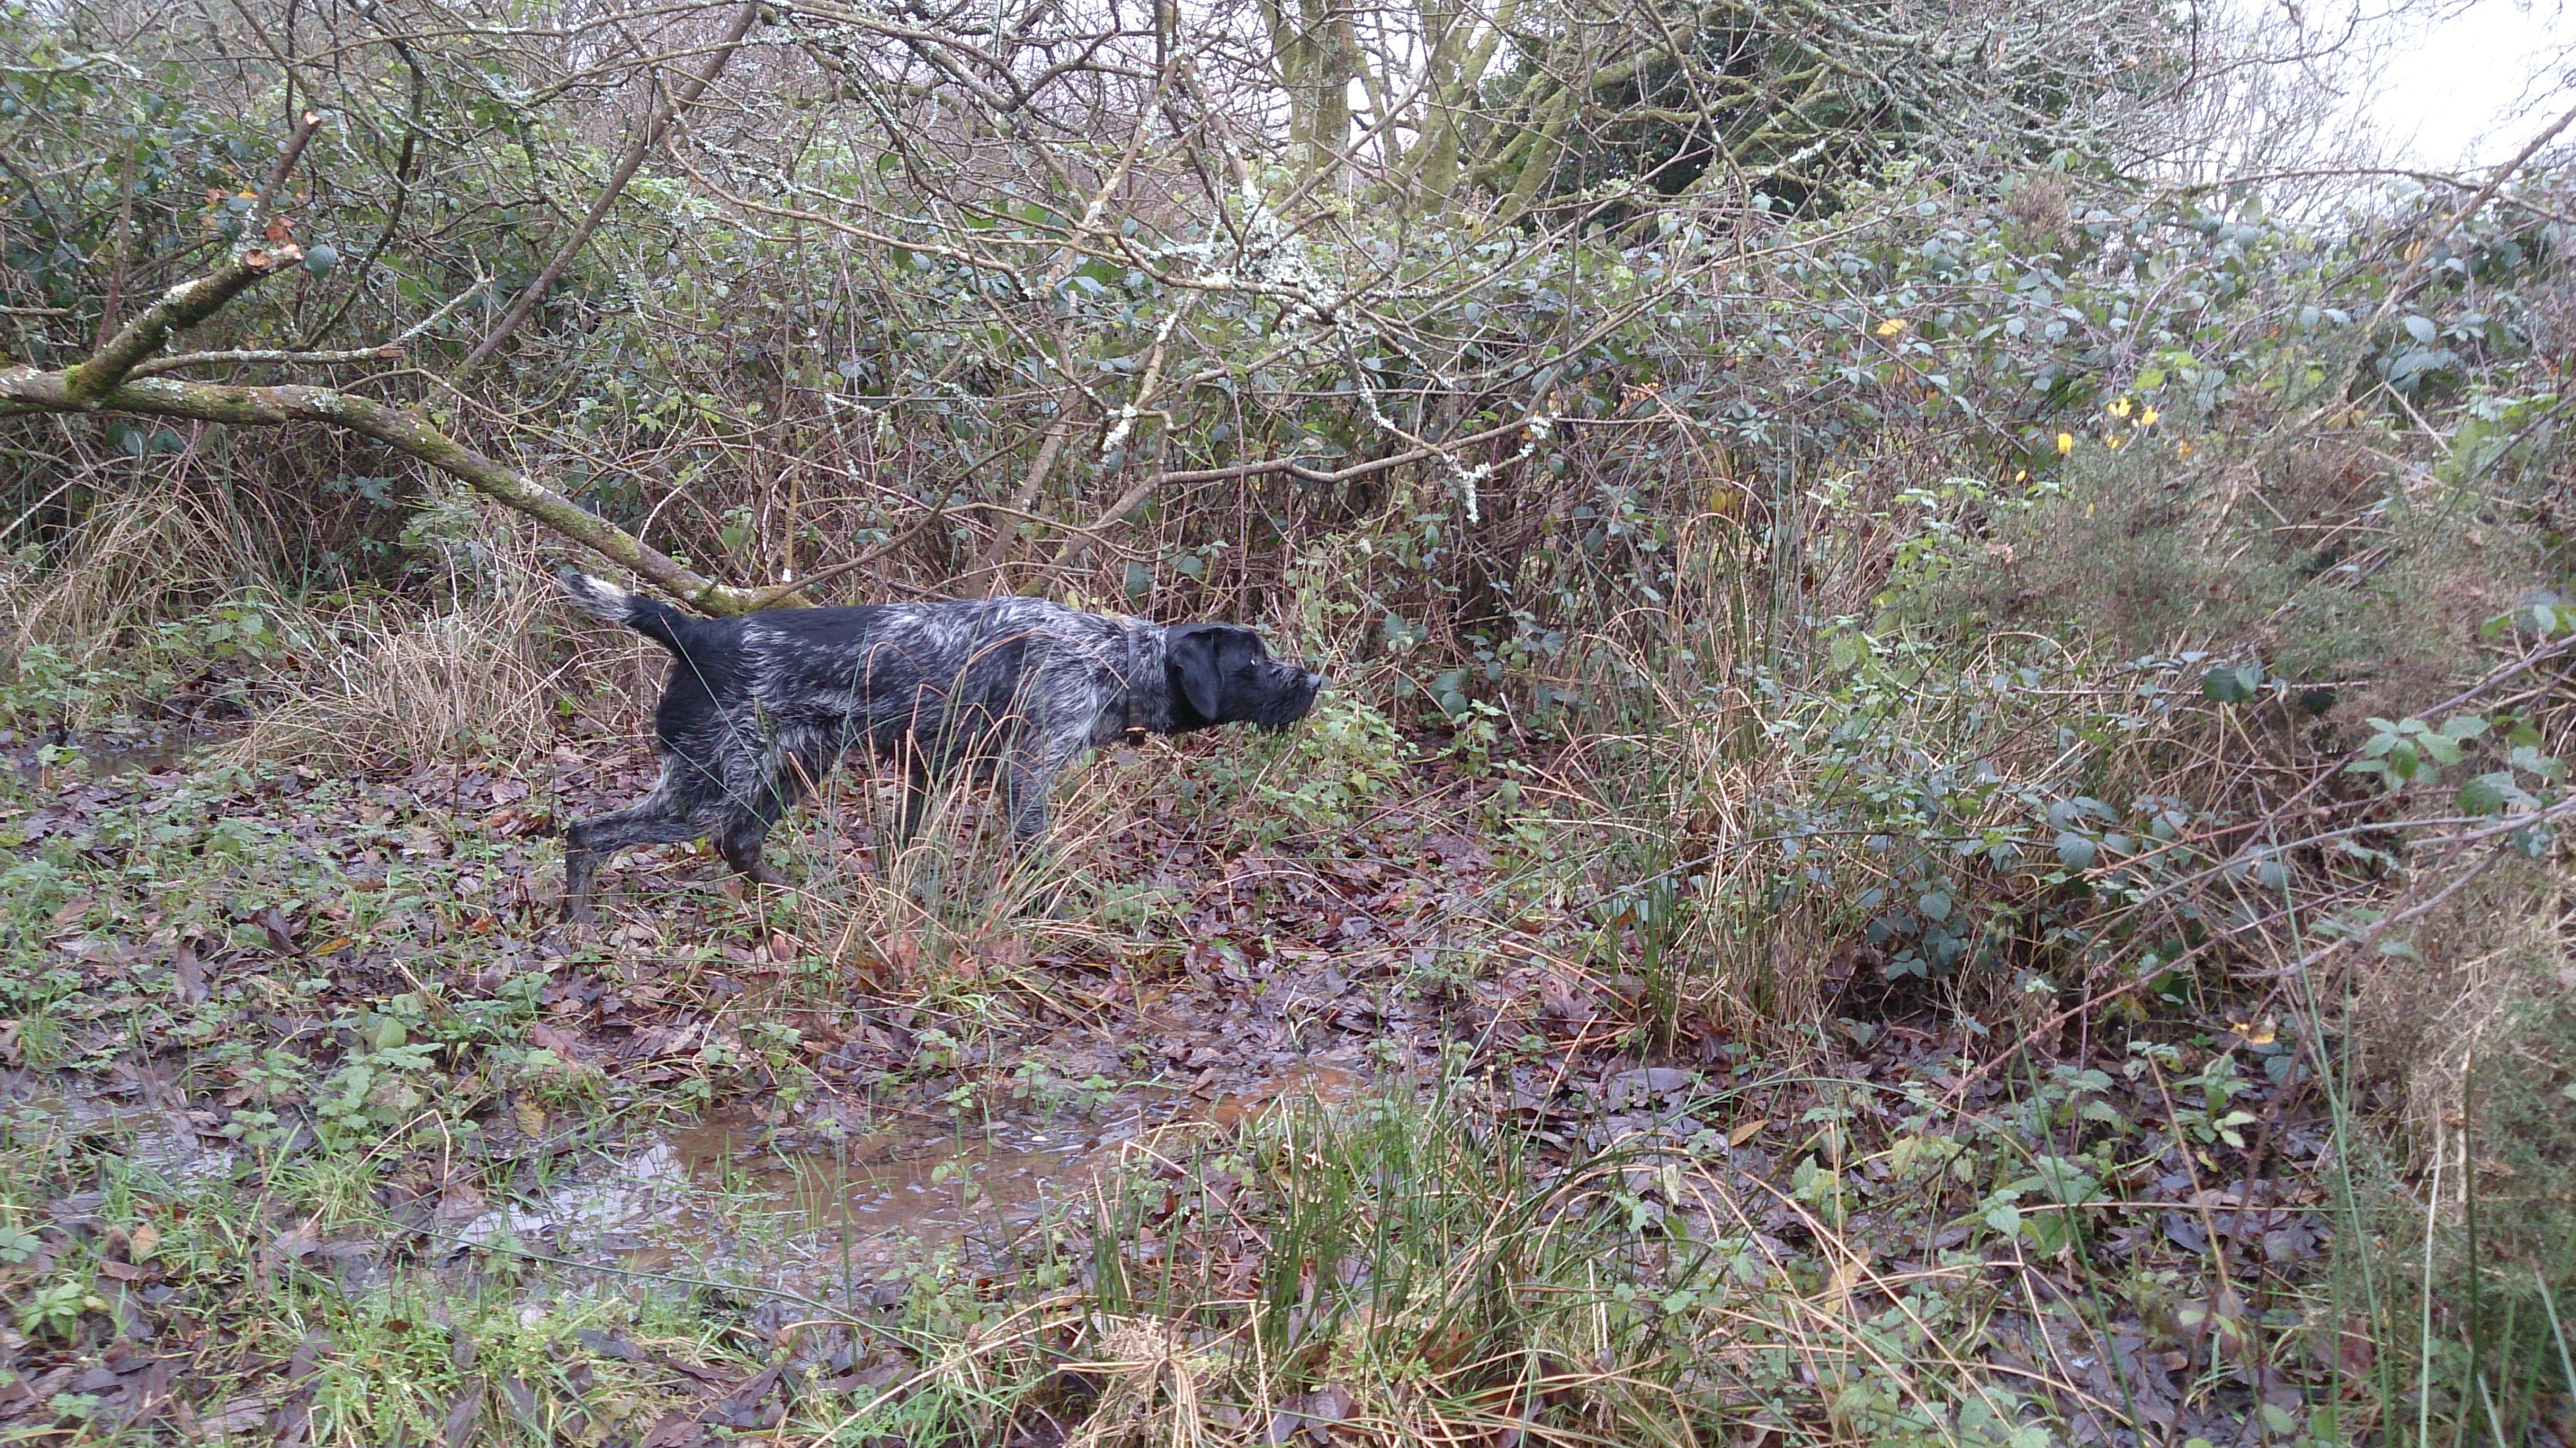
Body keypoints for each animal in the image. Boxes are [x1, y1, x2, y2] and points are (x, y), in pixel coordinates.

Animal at [551, 569, 1319, 917]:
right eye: (1253, 662)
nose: (1315, 679)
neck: (1110, 657)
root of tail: (691, 630)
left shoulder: (930, 767)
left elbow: (904, 845)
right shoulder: (1025, 772)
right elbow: (1033, 852)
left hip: (791, 766)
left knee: (739, 845)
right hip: (708, 786)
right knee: (587, 832)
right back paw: (578, 922)